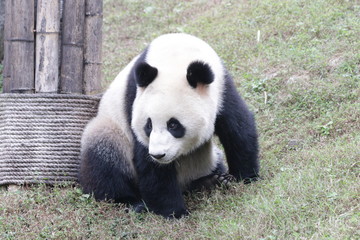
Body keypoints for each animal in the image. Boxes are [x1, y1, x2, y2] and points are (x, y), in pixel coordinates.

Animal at [79, 32, 258, 218]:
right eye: (148, 125)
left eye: (173, 125)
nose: (158, 155)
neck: (177, 56)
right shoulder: (134, 100)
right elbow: (149, 164)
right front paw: (175, 212)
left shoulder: (222, 88)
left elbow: (237, 128)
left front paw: (245, 176)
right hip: (111, 129)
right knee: (105, 160)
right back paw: (132, 202)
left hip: (208, 159)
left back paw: (214, 180)